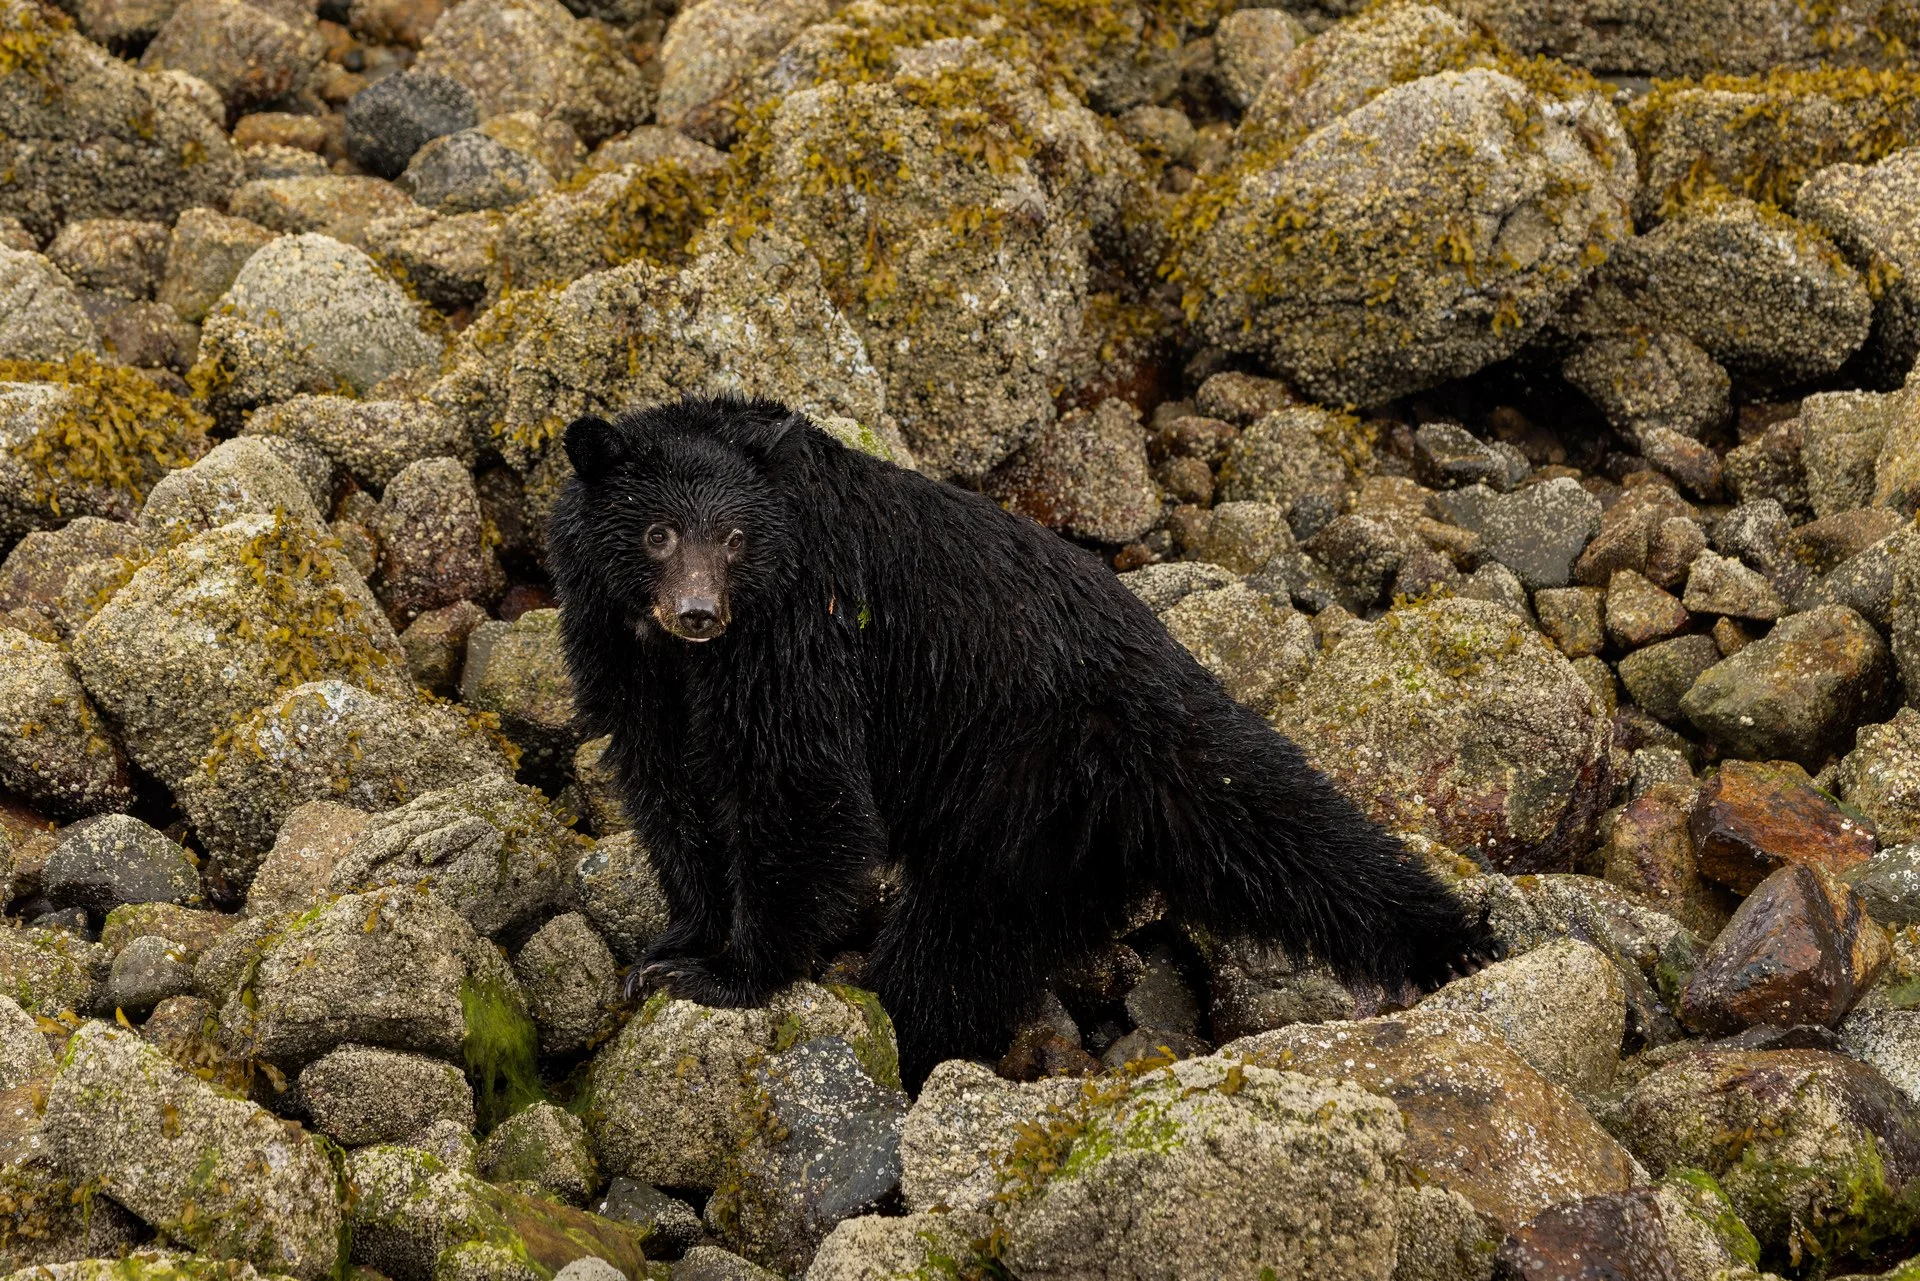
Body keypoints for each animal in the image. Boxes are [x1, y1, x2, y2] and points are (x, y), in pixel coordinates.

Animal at [546, 395, 1502, 1088]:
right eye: (657, 532)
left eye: (737, 538)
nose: (698, 612)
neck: (688, 657)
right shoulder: (624, 654)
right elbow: (666, 781)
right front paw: (675, 942)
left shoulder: (803, 631)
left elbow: (799, 783)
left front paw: (730, 972)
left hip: (1026, 787)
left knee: (963, 936)